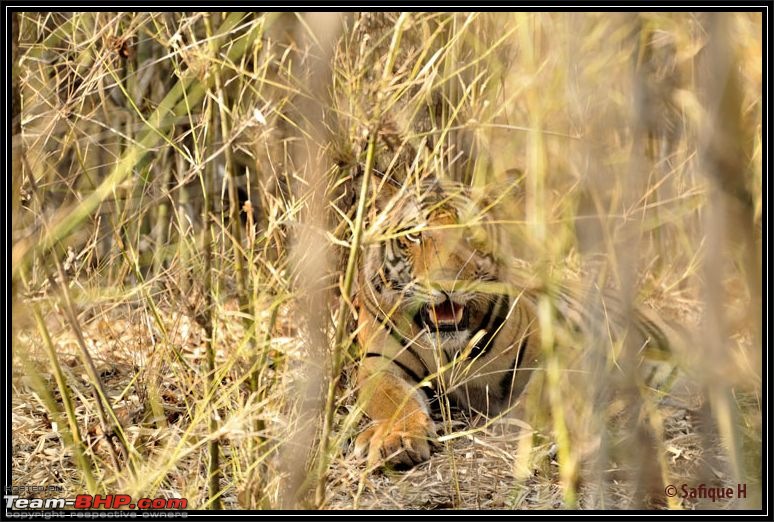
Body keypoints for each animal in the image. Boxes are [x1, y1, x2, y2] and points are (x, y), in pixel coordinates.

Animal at [352, 175, 684, 468]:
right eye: (414, 234)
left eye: (470, 233)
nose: (447, 284)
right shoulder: (380, 364)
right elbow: (393, 401)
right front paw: (397, 438)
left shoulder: (567, 348)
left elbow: (541, 394)